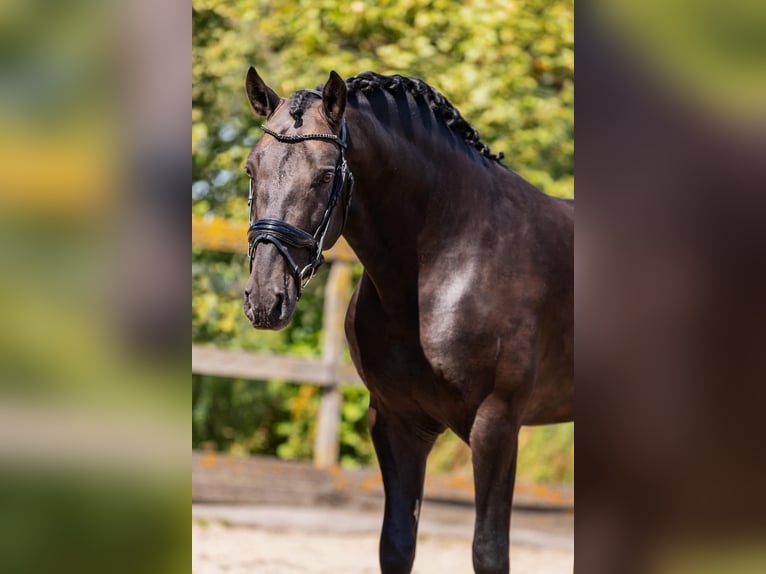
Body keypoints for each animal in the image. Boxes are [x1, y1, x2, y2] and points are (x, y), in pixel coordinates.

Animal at [243, 68, 572, 574]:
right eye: (251, 168)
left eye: (324, 175)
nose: (265, 299)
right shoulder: (397, 422)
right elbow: (397, 545)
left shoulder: (497, 423)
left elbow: (489, 551)